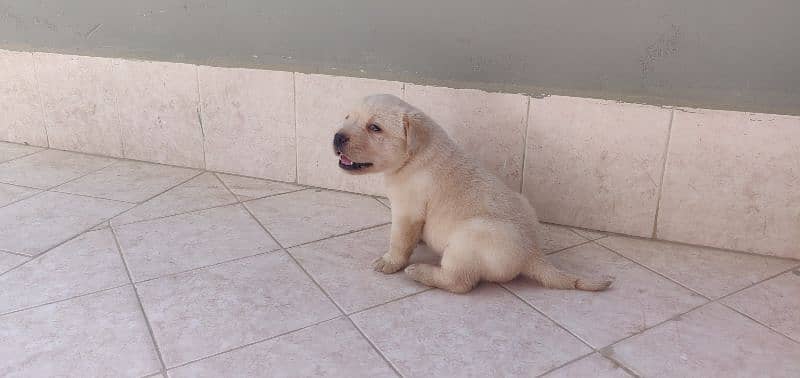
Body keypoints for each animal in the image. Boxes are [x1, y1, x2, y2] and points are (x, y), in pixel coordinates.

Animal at [332, 93, 612, 294]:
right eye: (347, 117)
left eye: (374, 128)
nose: (337, 137)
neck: (413, 156)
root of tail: (533, 254)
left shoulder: (407, 211)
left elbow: (399, 241)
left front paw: (389, 262)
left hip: (468, 239)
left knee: (460, 282)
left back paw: (420, 272)